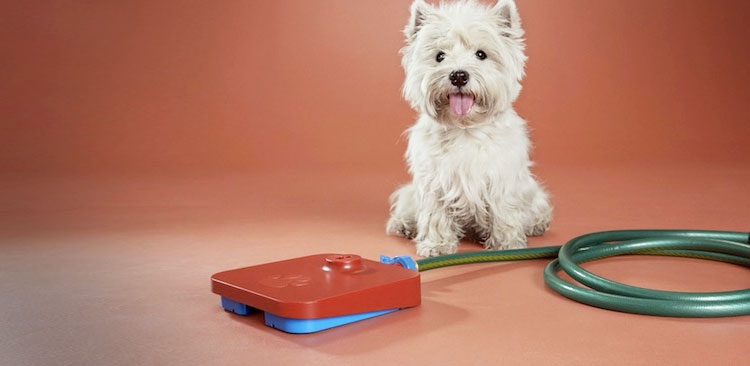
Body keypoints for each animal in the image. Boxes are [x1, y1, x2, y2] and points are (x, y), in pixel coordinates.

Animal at [388, 0, 552, 258]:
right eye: (440, 56)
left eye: (481, 54)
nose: (458, 75)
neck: (465, 127)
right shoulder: (434, 180)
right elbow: (436, 214)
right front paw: (437, 245)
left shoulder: (501, 178)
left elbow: (504, 211)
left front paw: (507, 244)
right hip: (410, 195)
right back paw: (402, 225)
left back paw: (536, 225)